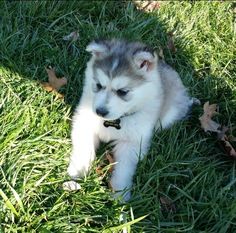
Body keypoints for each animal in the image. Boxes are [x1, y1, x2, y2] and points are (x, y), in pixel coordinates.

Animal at [67, 38, 195, 200]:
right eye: (98, 85)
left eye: (123, 91)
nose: (100, 112)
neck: (114, 121)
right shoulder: (84, 123)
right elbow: (84, 148)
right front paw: (77, 172)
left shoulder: (132, 143)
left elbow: (124, 168)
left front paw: (120, 195)